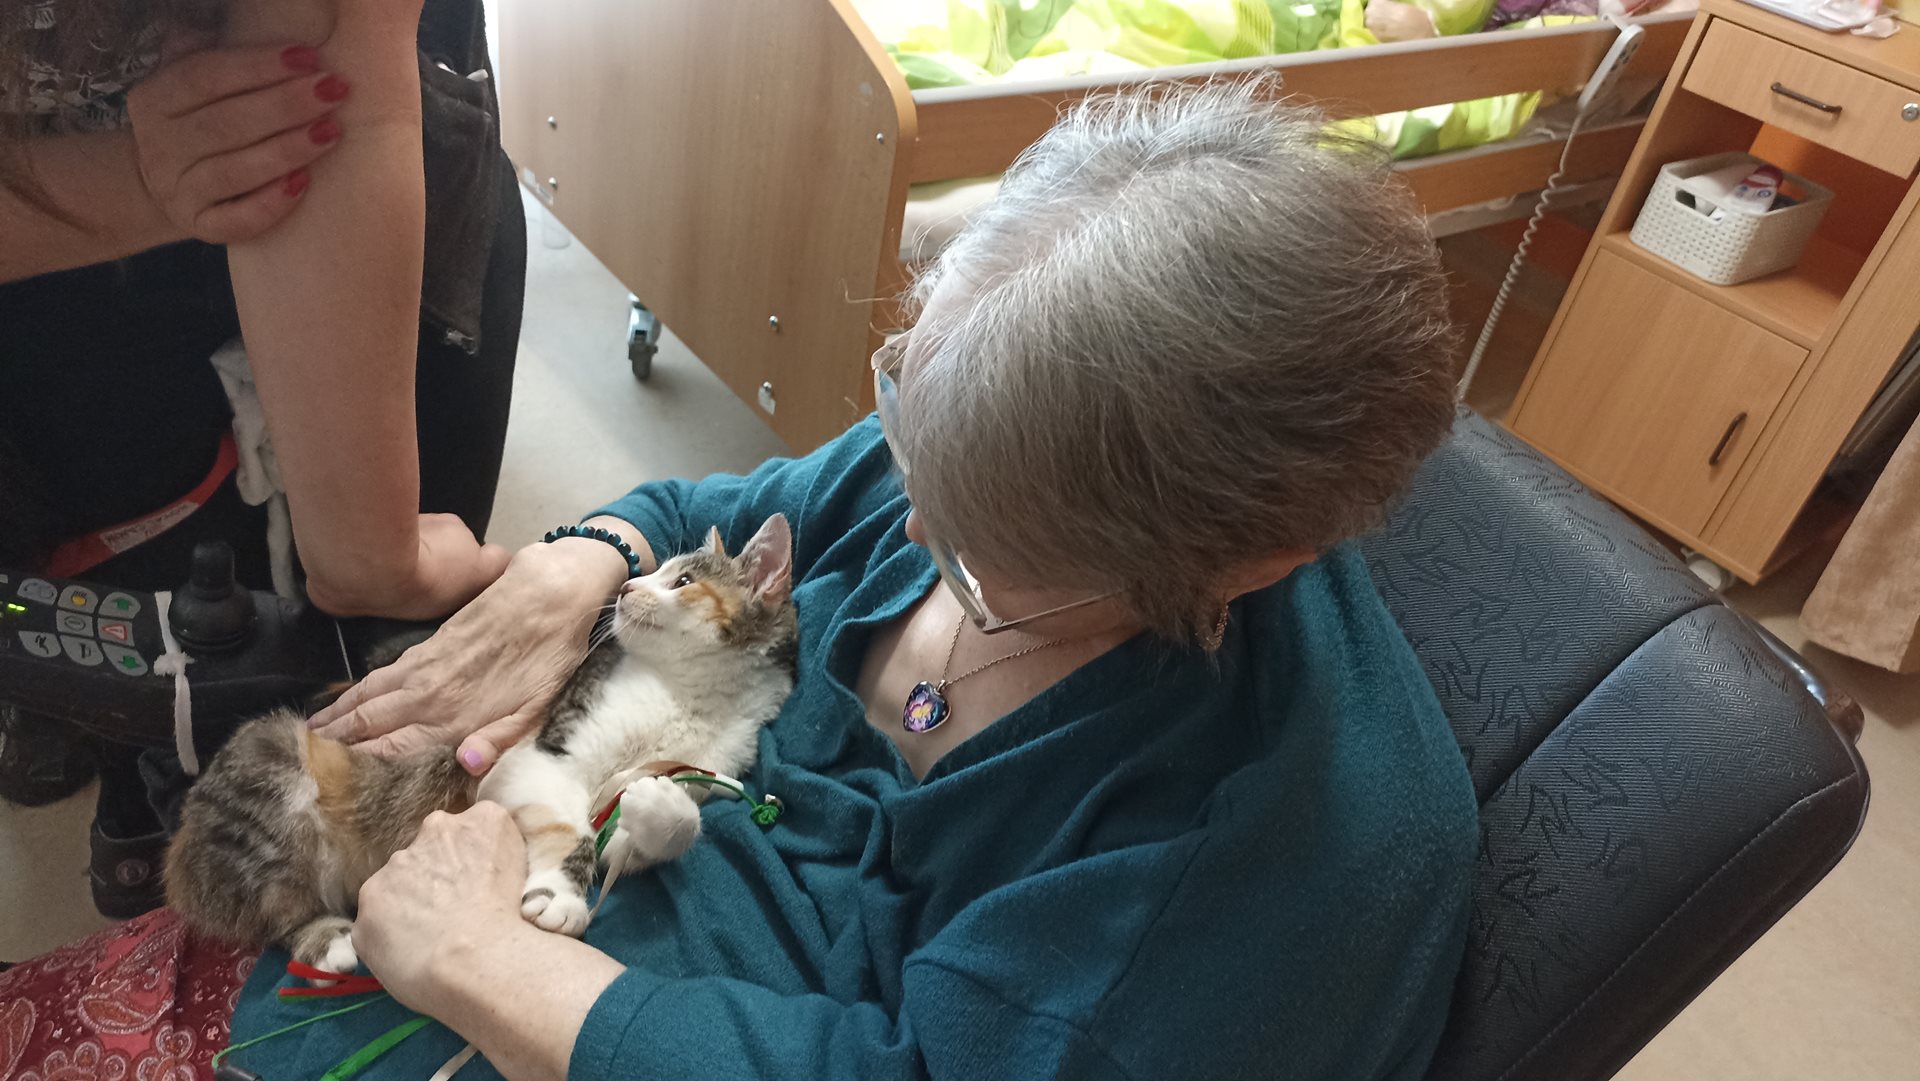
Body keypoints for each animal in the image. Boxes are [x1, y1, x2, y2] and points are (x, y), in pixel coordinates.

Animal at [164, 514, 797, 975]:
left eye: (684, 582)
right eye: (658, 571)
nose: (624, 586)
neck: (686, 698)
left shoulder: (701, 764)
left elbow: (639, 837)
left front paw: (661, 804)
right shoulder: (539, 754)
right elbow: (574, 831)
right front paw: (559, 894)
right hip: (271, 763)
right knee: (275, 908)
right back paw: (325, 940)